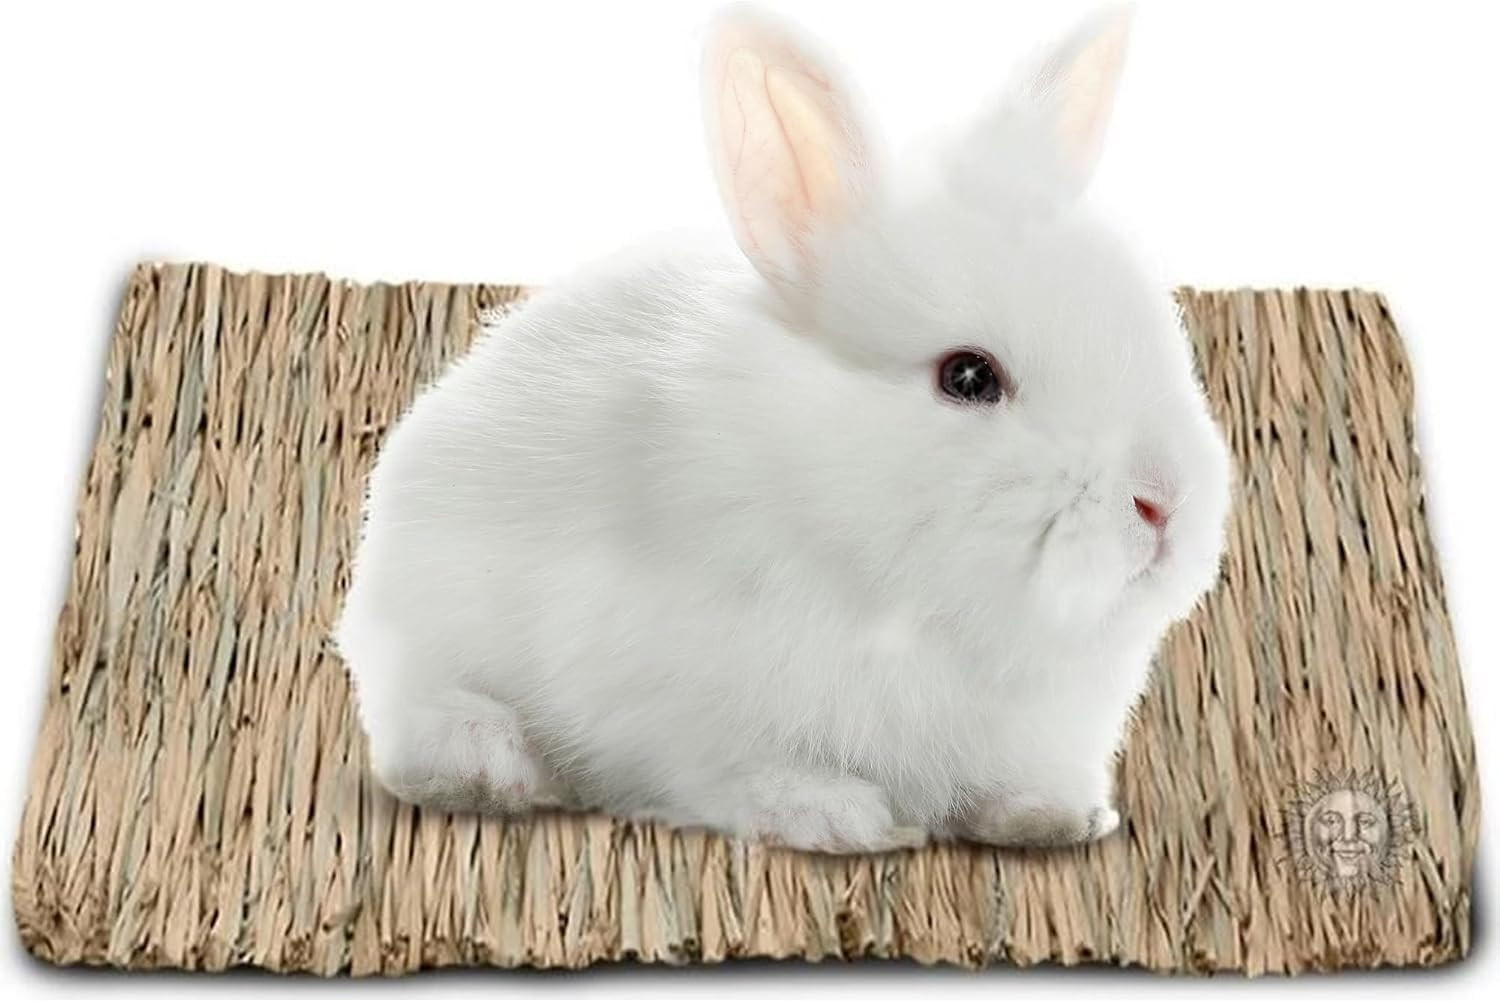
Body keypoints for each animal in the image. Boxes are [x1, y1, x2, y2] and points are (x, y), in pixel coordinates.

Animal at [335, 2, 1233, 854]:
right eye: (969, 377)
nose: (1163, 502)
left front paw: (1050, 817)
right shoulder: (680, 706)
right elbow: (746, 772)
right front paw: (835, 816)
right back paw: (488, 762)